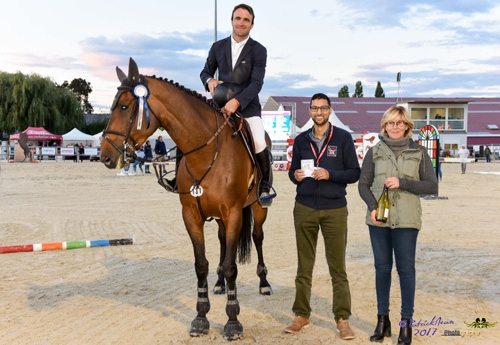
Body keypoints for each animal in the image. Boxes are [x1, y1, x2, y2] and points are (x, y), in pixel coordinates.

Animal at [99, 58, 274, 338]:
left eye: (124, 107)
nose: (105, 155)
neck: (207, 151)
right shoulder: (191, 215)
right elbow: (201, 264)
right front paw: (201, 317)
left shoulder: (234, 213)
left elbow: (232, 265)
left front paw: (232, 321)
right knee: (223, 241)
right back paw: (219, 283)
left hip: (258, 208)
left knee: (257, 237)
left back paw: (264, 282)